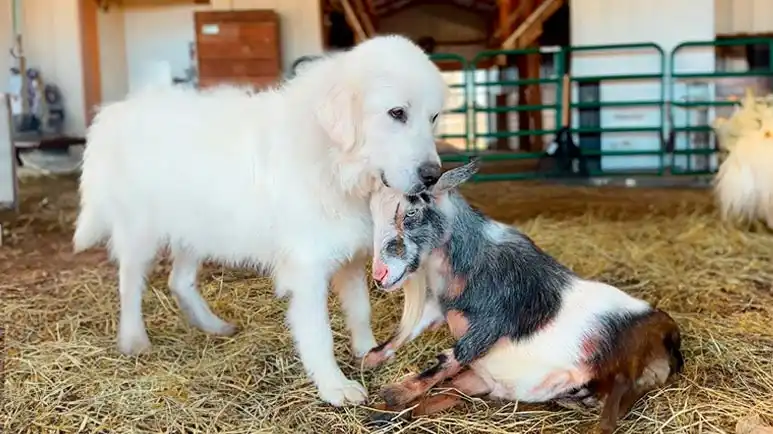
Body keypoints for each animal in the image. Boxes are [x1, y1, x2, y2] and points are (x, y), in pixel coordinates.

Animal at [74, 34, 446, 406]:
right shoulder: (307, 271)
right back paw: (134, 340)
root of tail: (116, 111)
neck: (333, 161)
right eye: (397, 113)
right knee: (129, 284)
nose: (433, 176)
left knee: (179, 281)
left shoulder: (350, 258)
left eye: (433, 117)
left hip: (197, 229)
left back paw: (213, 326)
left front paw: (369, 352)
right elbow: (319, 334)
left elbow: (360, 311)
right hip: (141, 233)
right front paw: (334, 386)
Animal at [364, 160, 680, 434]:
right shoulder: (443, 309)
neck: (471, 261)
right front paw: (374, 361)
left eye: (411, 212)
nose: (379, 274)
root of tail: (672, 336)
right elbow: (417, 333)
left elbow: (450, 357)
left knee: (616, 404)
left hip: (630, 361)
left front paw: (394, 391)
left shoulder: (495, 319)